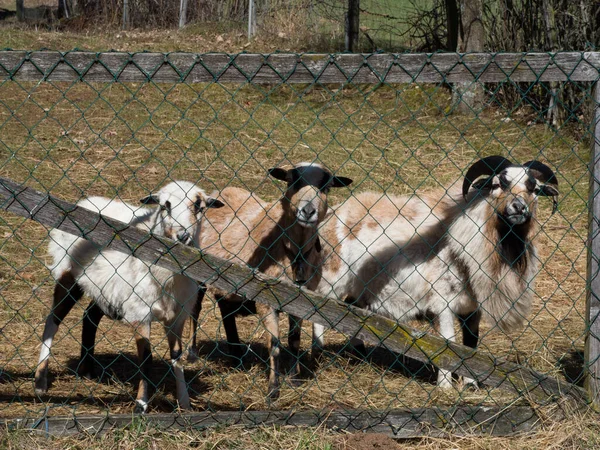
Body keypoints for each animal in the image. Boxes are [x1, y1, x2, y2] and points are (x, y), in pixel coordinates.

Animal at [34, 181, 224, 414]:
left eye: (199, 206)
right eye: (165, 205)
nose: (183, 237)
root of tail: (85, 202)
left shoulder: (176, 317)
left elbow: (176, 356)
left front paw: (185, 402)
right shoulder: (140, 313)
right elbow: (146, 359)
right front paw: (141, 404)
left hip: (105, 288)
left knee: (89, 317)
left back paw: (87, 370)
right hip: (68, 275)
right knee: (53, 320)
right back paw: (40, 381)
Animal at [190, 163, 354, 400]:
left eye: (327, 186)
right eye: (292, 181)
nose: (308, 212)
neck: (293, 251)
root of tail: (219, 193)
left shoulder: (302, 302)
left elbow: (294, 341)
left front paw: (295, 378)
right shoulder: (266, 299)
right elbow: (275, 346)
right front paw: (273, 390)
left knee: (225, 307)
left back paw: (236, 354)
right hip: (196, 270)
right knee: (195, 309)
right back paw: (192, 353)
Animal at [312, 156, 560, 388]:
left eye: (534, 188)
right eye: (497, 184)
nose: (519, 207)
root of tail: (335, 213)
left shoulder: (472, 309)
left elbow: (471, 344)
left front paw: (471, 384)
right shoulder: (442, 303)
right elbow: (448, 342)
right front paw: (445, 387)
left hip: (362, 289)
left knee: (353, 312)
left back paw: (358, 353)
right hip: (332, 279)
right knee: (319, 314)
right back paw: (317, 354)